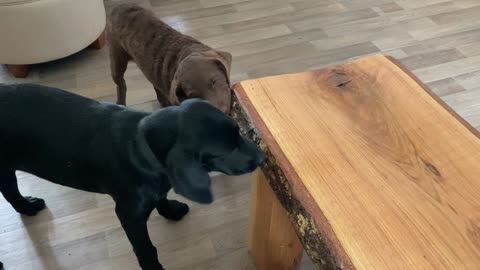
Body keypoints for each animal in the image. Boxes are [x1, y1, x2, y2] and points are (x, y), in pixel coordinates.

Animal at [0, 83, 262, 268]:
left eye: (239, 131)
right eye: (227, 150)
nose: (262, 157)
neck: (139, 143)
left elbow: (161, 197)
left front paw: (170, 210)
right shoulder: (129, 215)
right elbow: (146, 250)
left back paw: (27, 207)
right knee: (9, 190)